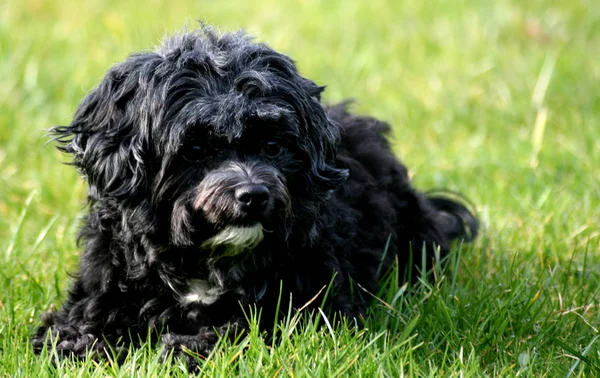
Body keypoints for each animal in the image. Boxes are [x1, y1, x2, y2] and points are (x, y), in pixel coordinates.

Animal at [32, 28, 478, 368]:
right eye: (195, 149)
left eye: (273, 144)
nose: (253, 194)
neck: (201, 259)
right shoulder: (106, 278)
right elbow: (84, 318)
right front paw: (77, 344)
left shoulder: (311, 301)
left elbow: (246, 323)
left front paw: (186, 348)